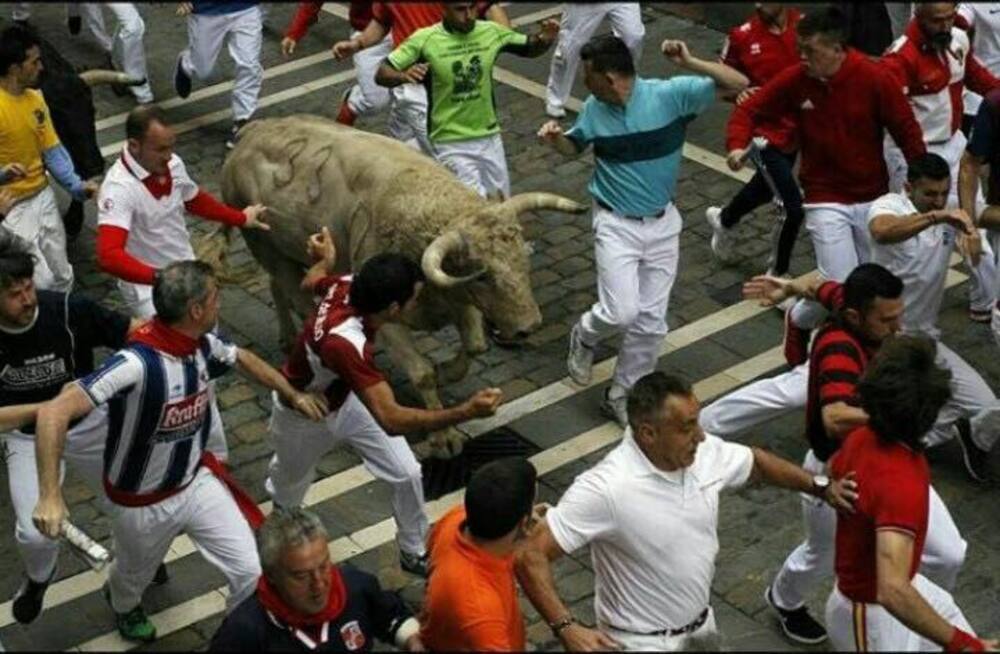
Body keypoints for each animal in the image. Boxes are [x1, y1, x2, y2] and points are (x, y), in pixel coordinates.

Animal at [215, 115, 584, 458]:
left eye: (522, 257)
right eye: (482, 275)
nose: (528, 326)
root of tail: (253, 132)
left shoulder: (460, 299)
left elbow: (476, 345)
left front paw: (448, 371)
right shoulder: (387, 319)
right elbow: (421, 372)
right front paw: (443, 436)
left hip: (284, 251)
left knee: (276, 286)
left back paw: (287, 336)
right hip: (267, 249)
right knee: (293, 292)